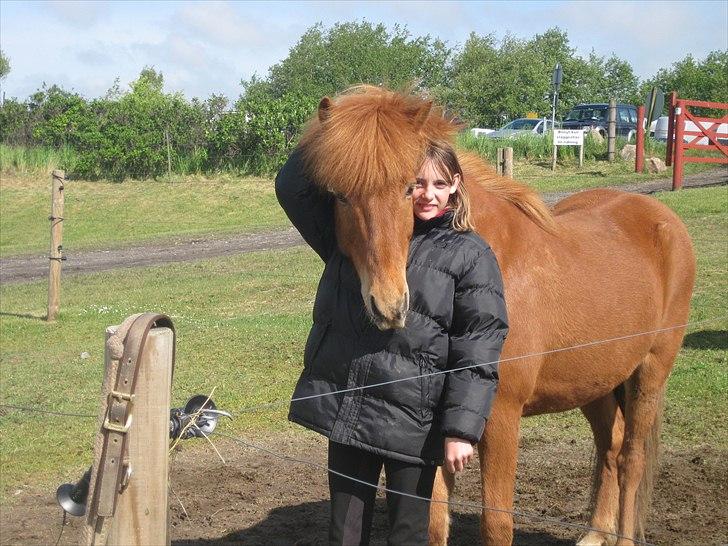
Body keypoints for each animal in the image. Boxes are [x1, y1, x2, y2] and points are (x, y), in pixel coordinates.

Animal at [298, 83, 696, 540]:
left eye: (409, 188)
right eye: (340, 196)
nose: (390, 304)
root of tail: (662, 218)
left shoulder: (502, 417)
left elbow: (497, 521)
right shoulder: (437, 431)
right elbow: (434, 520)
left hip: (650, 371)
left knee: (632, 458)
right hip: (595, 378)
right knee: (610, 446)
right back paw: (596, 533)